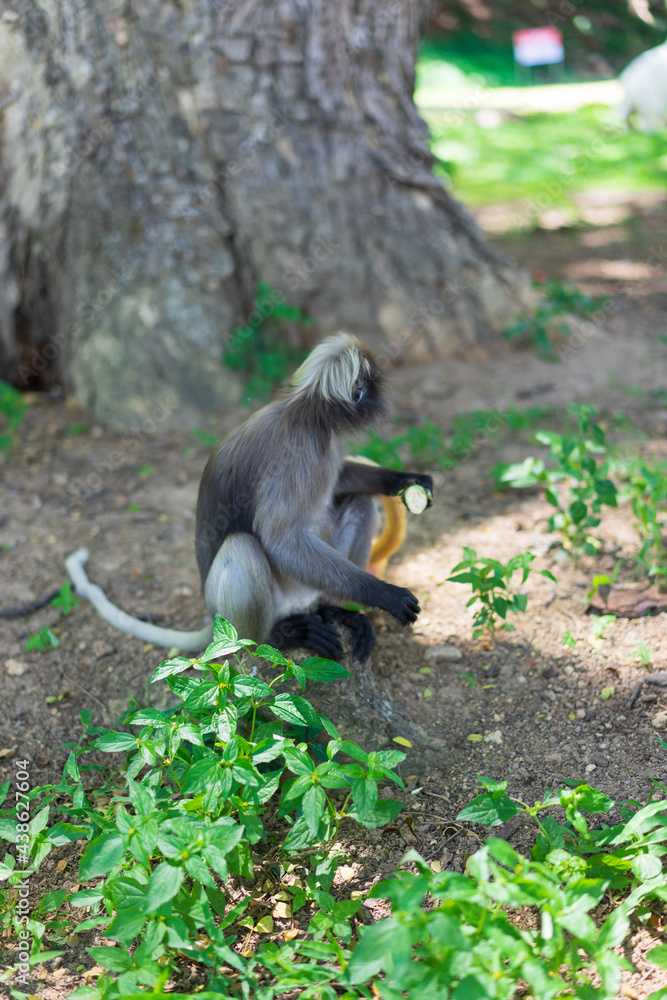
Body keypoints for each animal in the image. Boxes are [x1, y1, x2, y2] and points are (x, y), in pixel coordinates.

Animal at [66, 333, 433, 661]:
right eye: (373, 387)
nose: (384, 396)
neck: (307, 418)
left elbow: (341, 479)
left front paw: (405, 479)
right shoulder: (295, 454)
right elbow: (280, 541)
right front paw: (387, 594)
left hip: (311, 586)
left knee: (358, 503)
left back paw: (335, 610)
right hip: (248, 606)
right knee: (242, 545)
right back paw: (276, 637)